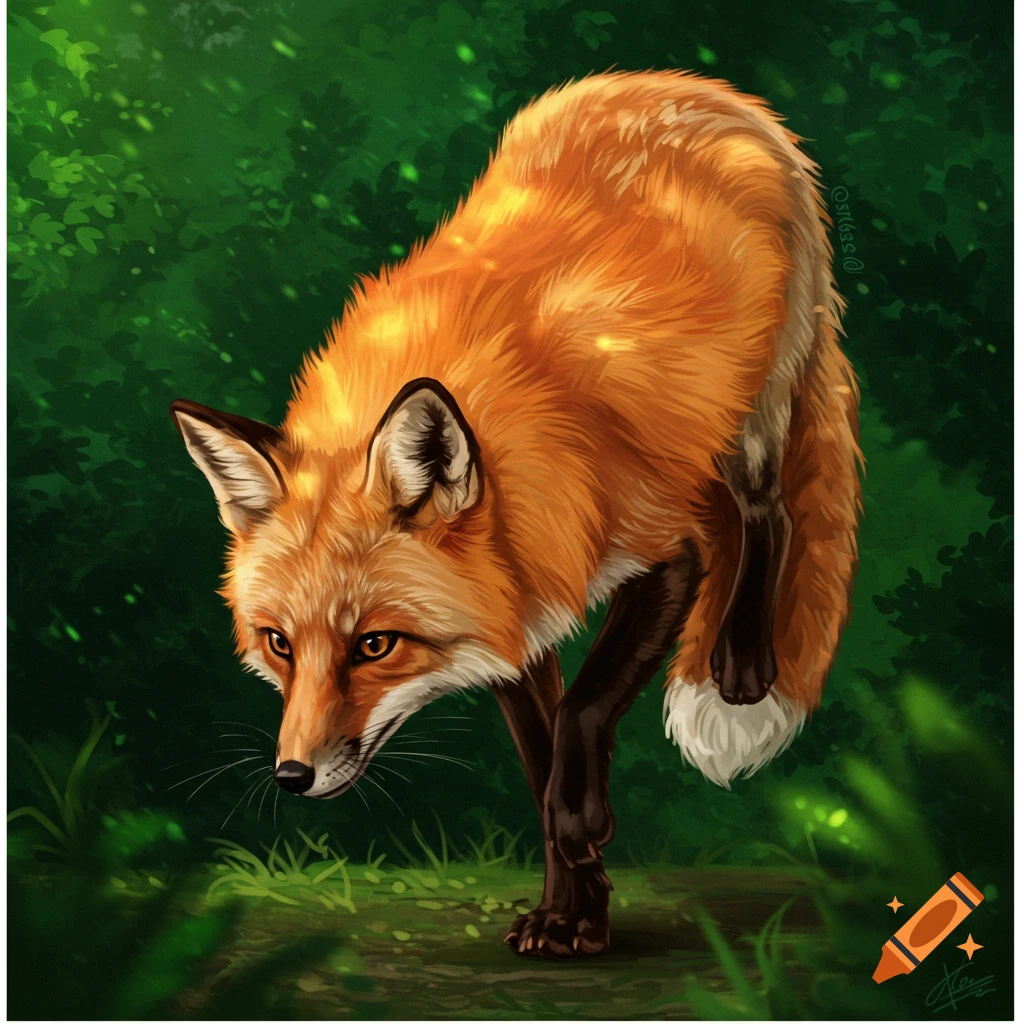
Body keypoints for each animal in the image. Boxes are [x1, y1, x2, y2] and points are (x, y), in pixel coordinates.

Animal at [171, 70, 861, 958]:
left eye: (375, 645)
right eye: (279, 644)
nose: (293, 776)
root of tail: (712, 93)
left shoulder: (661, 553)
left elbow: (582, 710)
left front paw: (582, 827)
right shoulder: (517, 615)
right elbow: (539, 766)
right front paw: (575, 913)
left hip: (753, 417)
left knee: (767, 514)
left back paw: (741, 663)